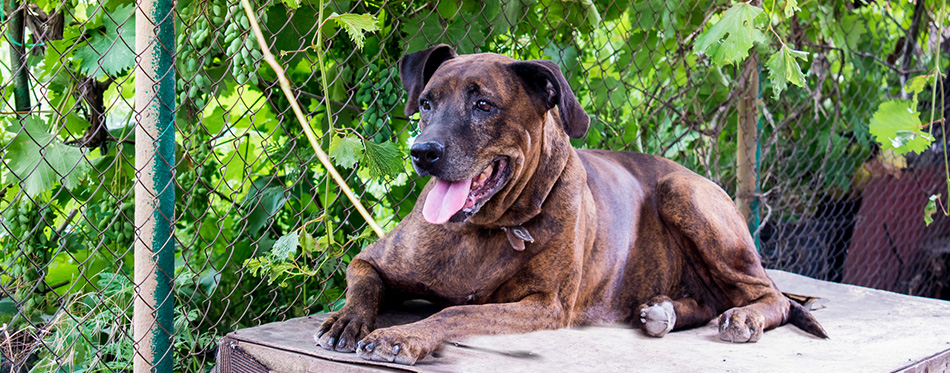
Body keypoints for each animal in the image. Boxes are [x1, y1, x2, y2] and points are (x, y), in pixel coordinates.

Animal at [318, 44, 824, 364]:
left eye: (484, 105)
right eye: (425, 102)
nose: (422, 152)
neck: (484, 229)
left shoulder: (544, 305)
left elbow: (456, 311)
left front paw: (403, 335)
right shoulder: (373, 260)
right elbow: (363, 281)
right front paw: (346, 321)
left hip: (686, 195)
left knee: (770, 296)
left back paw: (744, 316)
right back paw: (664, 312)